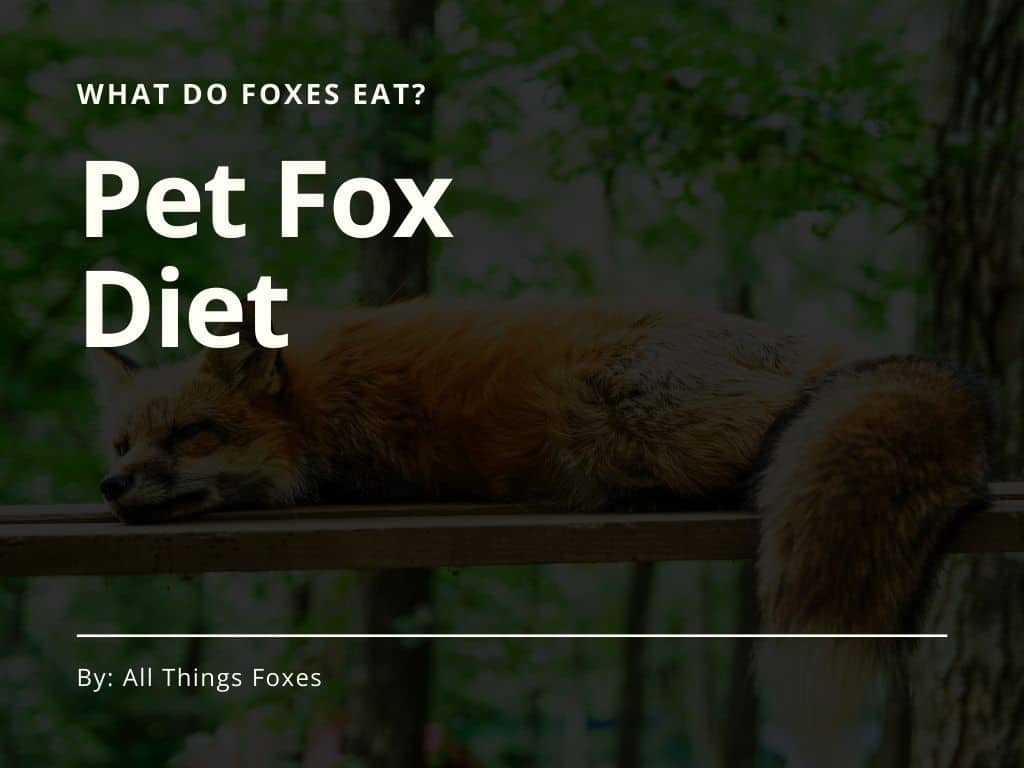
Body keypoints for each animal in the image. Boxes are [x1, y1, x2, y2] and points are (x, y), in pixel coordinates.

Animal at [89, 297, 991, 767]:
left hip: (610, 397)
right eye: (122, 442)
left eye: (190, 435)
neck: (312, 401)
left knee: (773, 445)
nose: (111, 485)